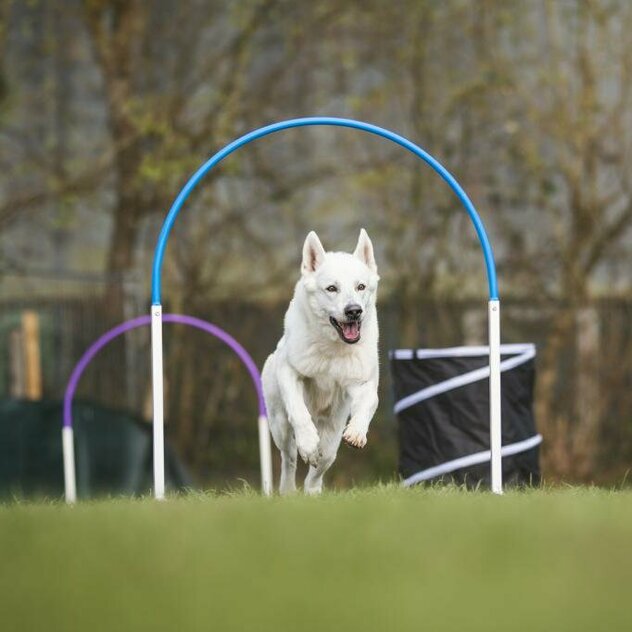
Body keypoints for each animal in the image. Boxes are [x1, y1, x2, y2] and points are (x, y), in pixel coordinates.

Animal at [262, 228, 380, 494]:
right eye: (332, 288)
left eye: (360, 286)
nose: (354, 311)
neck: (333, 348)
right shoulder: (290, 371)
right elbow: (299, 411)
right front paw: (307, 443)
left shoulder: (362, 382)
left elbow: (369, 402)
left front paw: (357, 432)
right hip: (279, 425)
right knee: (289, 458)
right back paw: (288, 490)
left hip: (333, 434)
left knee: (322, 463)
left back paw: (313, 491)